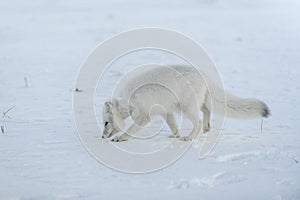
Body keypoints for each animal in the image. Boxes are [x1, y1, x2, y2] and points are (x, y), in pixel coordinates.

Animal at [102, 65, 270, 141]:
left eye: (105, 123)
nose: (103, 137)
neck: (128, 101)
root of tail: (202, 75)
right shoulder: (166, 111)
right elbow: (173, 124)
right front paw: (174, 135)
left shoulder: (145, 114)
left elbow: (132, 128)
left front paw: (120, 138)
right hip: (188, 104)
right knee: (207, 110)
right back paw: (207, 128)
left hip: (186, 107)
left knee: (199, 121)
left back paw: (190, 137)